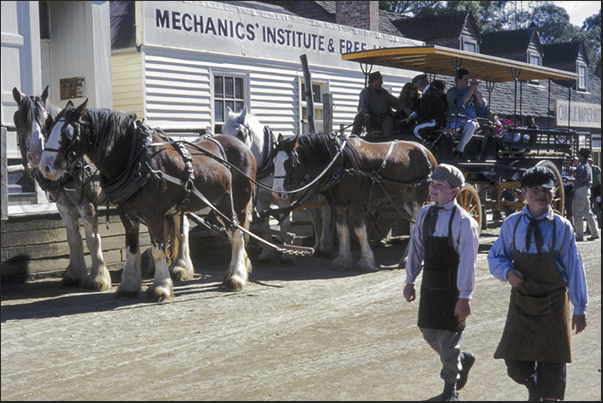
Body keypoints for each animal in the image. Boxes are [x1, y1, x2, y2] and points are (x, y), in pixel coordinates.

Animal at [39, 100, 258, 304]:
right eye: (49, 129)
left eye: (68, 131)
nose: (45, 167)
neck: (135, 160)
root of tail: (243, 147)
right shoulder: (127, 215)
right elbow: (131, 249)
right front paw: (129, 285)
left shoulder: (153, 215)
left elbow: (157, 250)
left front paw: (160, 287)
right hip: (220, 205)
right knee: (231, 235)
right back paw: (232, 272)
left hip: (236, 204)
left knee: (237, 236)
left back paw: (236, 278)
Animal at [223, 107, 336, 264]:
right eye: (221, 131)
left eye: (239, 133)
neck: (268, 165)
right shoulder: (261, 202)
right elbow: (265, 226)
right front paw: (267, 254)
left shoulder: (284, 200)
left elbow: (285, 225)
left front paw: (288, 255)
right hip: (307, 195)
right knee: (315, 218)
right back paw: (317, 247)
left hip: (321, 193)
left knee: (326, 215)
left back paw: (325, 246)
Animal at [272, 134, 436, 274]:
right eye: (273, 161)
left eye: (289, 162)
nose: (277, 193)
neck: (338, 163)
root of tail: (426, 151)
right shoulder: (336, 204)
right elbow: (342, 230)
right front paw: (343, 260)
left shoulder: (356, 203)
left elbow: (359, 230)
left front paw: (366, 261)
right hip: (404, 197)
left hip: (417, 195)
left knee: (415, 224)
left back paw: (408, 258)